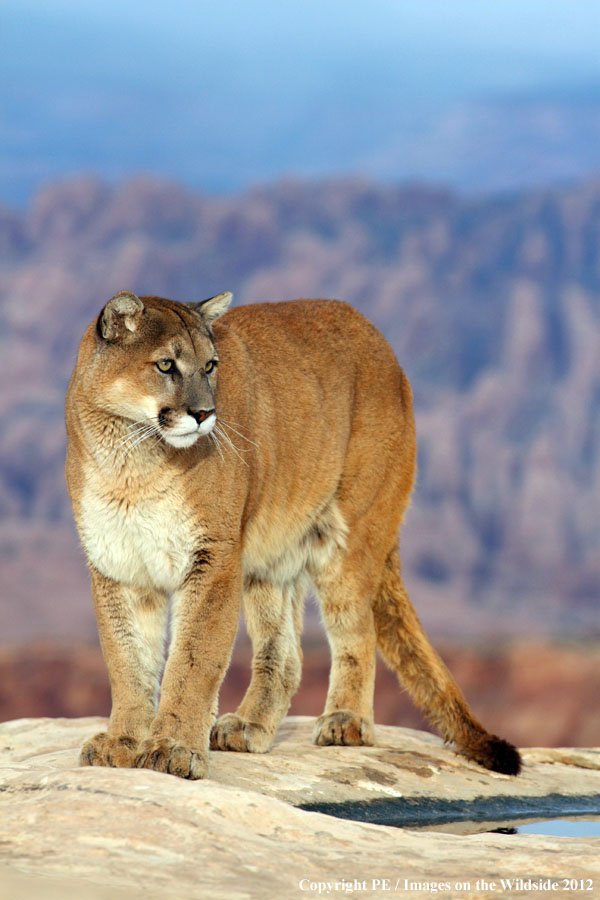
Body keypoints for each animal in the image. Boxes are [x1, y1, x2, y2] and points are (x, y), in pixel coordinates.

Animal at [65, 292, 520, 776]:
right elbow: (127, 661)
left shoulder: (213, 556)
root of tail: (382, 344)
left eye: (210, 366)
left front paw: (173, 748)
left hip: (348, 538)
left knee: (358, 630)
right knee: (286, 656)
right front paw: (123, 741)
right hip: (269, 561)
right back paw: (247, 726)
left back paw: (346, 721)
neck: (132, 462)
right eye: (166, 365)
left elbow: (193, 659)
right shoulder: (119, 566)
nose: (204, 413)